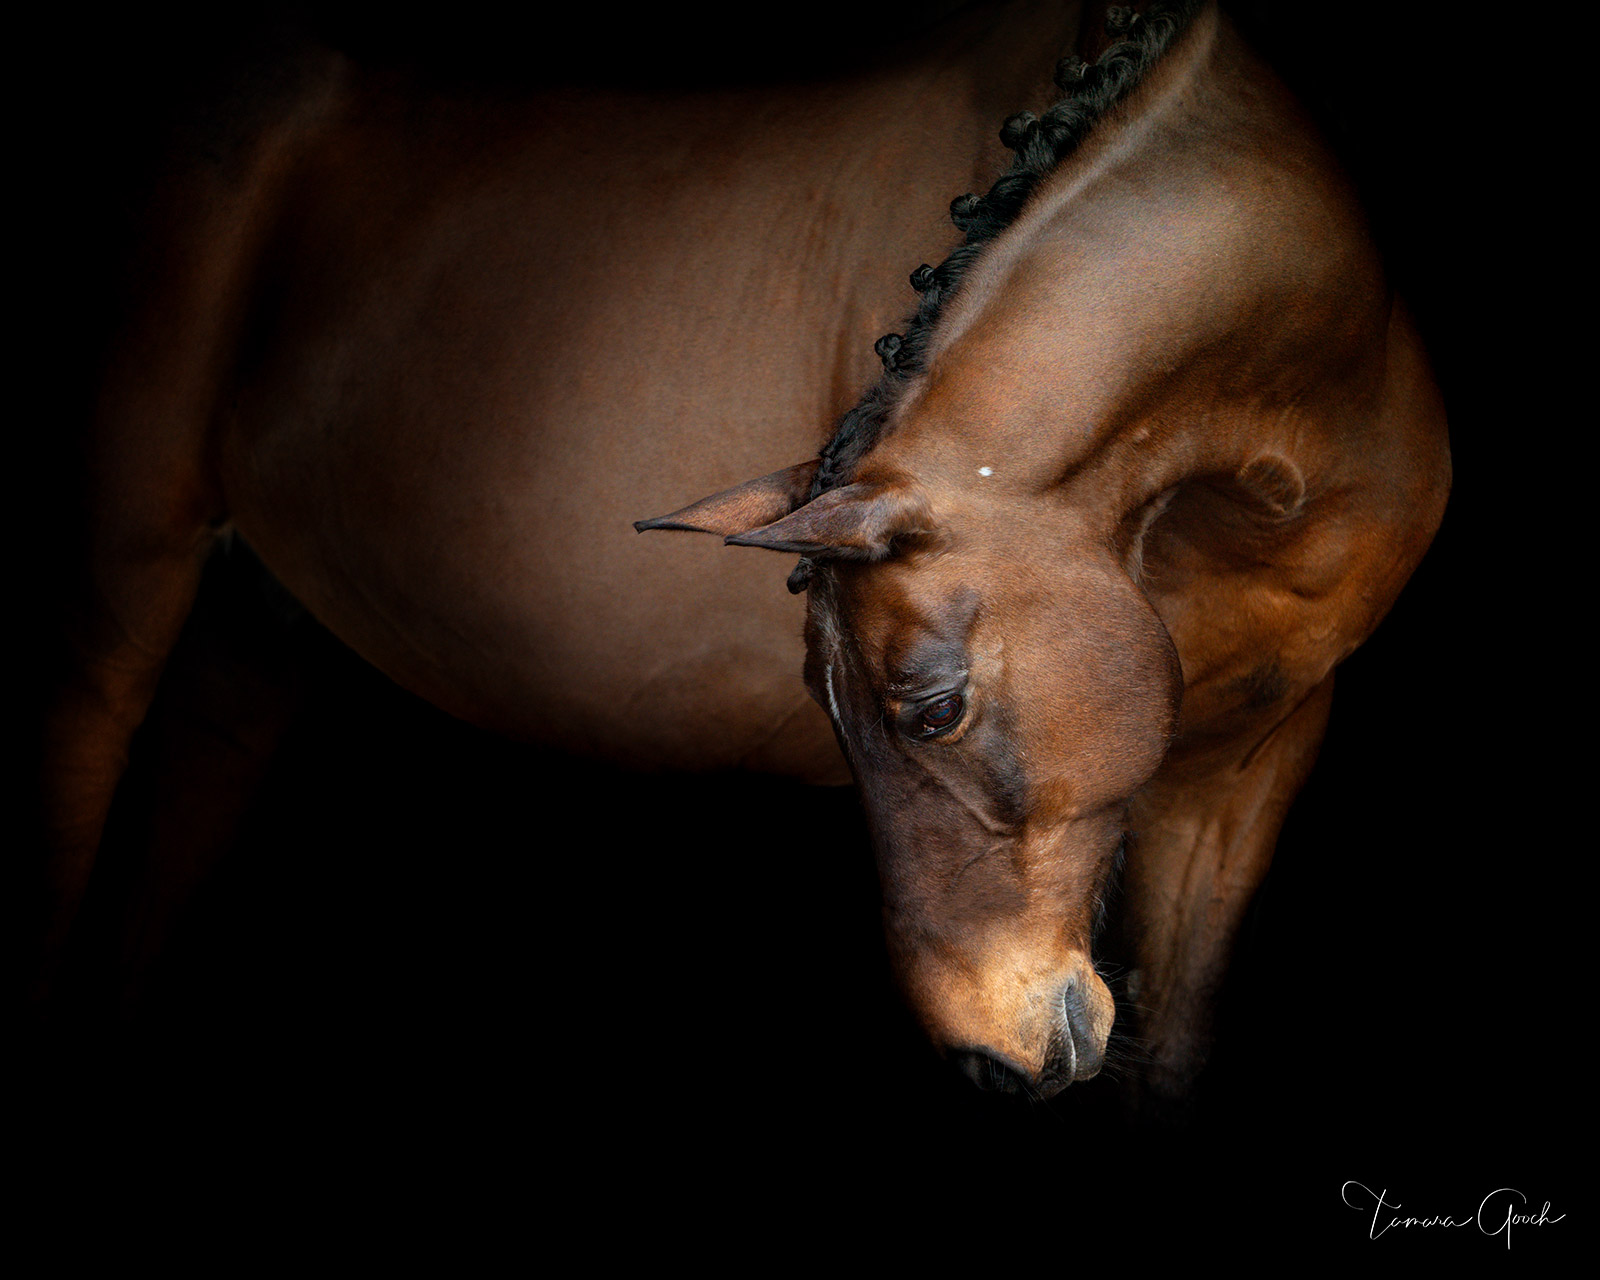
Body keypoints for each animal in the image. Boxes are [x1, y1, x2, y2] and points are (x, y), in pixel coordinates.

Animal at [25, 0, 1452, 1107]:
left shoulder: (1250, 764)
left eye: (929, 706)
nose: (987, 1058)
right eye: (835, 717)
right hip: (123, 585)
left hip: (256, 631)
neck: (1272, 457)